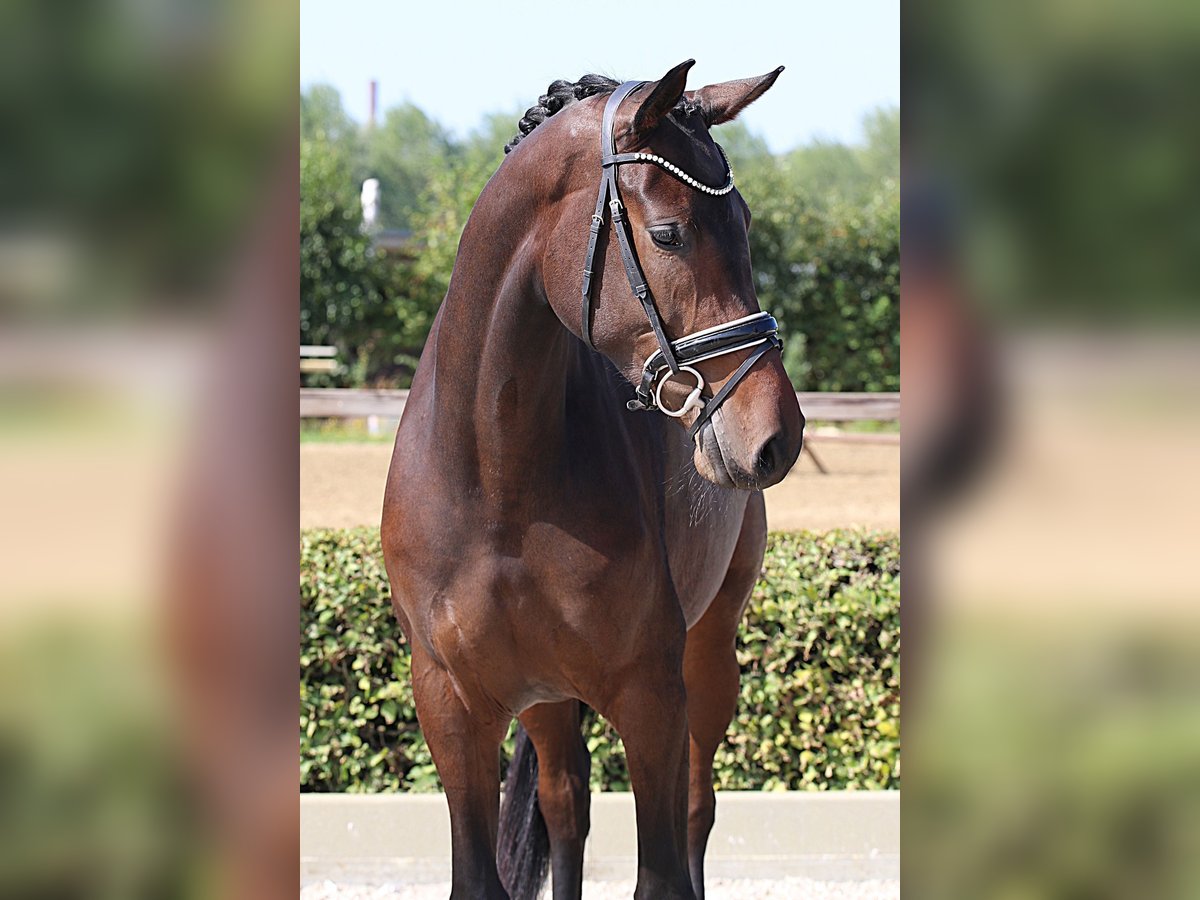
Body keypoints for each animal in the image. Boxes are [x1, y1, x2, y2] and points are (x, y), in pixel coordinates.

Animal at [381, 59, 805, 900]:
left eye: (744, 223)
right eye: (670, 233)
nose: (777, 437)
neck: (496, 480)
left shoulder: (652, 700)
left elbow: (663, 867)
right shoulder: (451, 706)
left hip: (709, 658)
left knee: (697, 809)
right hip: (545, 698)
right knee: (566, 805)